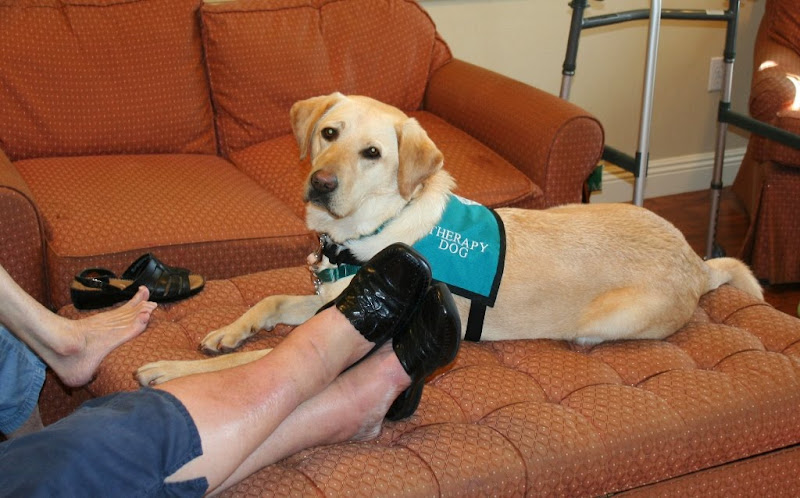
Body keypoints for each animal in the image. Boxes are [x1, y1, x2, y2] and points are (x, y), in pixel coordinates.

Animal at [136, 93, 764, 388]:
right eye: (328, 133)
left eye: (373, 153)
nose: (320, 183)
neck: (368, 234)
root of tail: (698, 261)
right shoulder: (326, 300)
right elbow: (265, 302)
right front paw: (225, 331)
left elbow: (255, 362)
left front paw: (168, 371)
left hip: (610, 317)